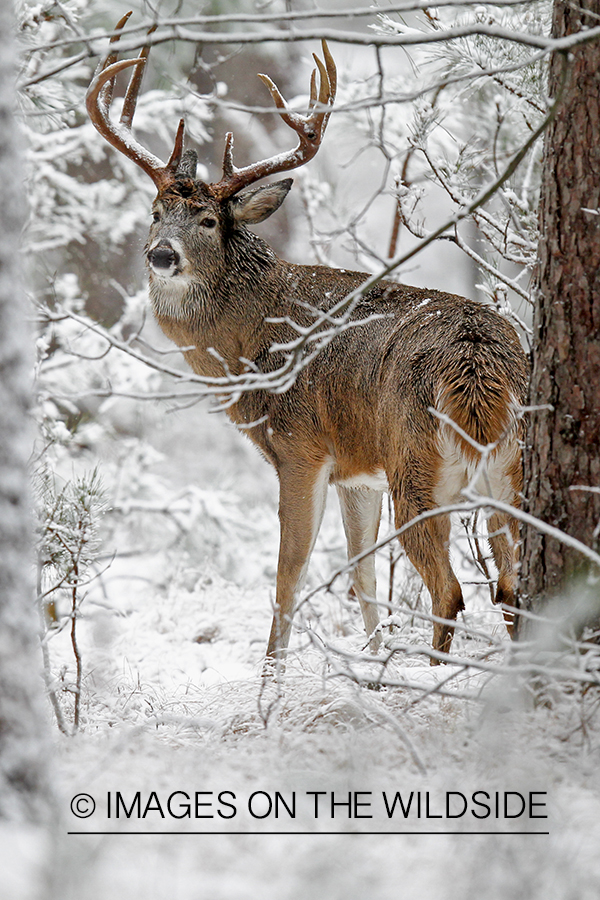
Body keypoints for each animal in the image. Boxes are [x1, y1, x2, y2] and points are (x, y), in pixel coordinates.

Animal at [86, 12, 528, 660]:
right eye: (154, 212)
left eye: (209, 221)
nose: (161, 255)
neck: (254, 341)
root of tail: (479, 370)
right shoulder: (358, 470)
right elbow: (362, 575)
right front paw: (370, 655)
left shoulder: (301, 446)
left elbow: (288, 573)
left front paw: (273, 670)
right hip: (508, 465)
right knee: (514, 588)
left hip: (416, 464)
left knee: (451, 590)